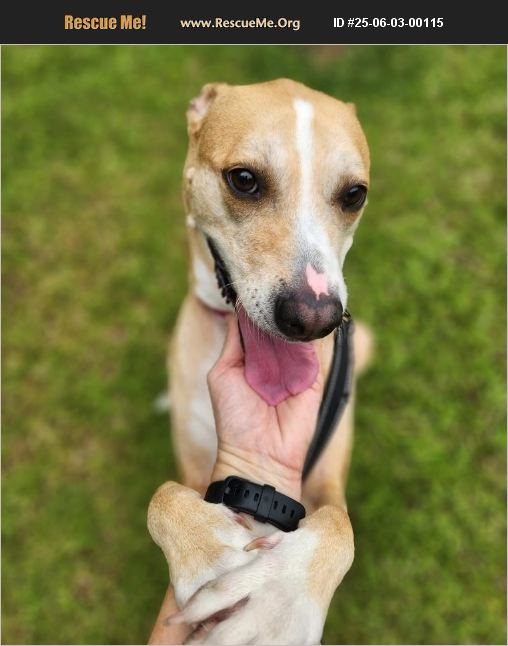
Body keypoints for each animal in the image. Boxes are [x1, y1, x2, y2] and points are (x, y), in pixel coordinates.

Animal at [148, 79, 372, 645]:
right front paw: (208, 555)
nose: (315, 318)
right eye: (244, 180)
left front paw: (277, 600)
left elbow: (340, 526)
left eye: (354, 194)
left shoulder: (327, 475)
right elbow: (162, 494)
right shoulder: (192, 466)